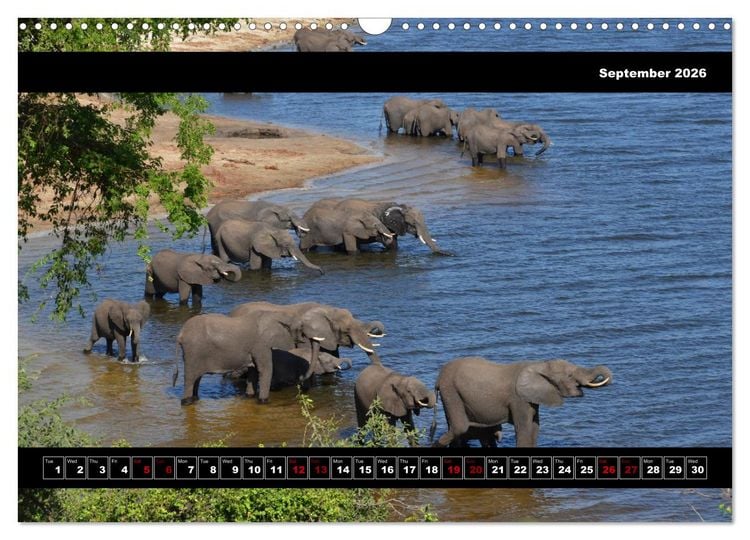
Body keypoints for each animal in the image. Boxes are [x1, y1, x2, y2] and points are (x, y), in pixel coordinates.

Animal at [174, 306, 341, 405]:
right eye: (301, 328)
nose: (301, 380)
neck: (279, 314)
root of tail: (180, 334)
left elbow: (254, 370)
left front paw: (250, 397)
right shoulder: (261, 344)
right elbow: (266, 369)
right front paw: (264, 401)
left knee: (196, 378)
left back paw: (195, 399)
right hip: (193, 351)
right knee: (190, 377)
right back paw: (187, 401)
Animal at [430, 357, 613, 448]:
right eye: (569, 376)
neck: (540, 365)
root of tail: (438, 377)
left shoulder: (531, 399)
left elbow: (534, 428)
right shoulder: (518, 399)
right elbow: (524, 428)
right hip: (450, 391)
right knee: (460, 427)